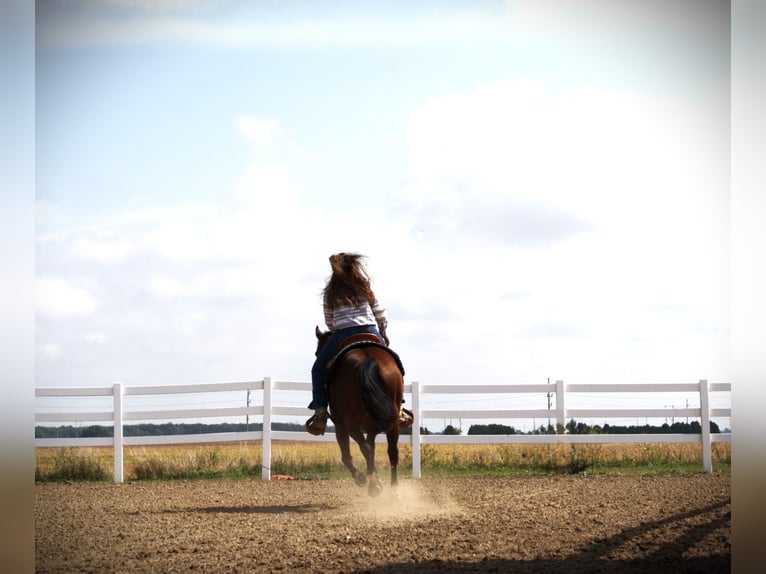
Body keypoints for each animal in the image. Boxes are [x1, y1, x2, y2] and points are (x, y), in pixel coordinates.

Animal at [314, 326, 406, 497]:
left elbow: (347, 455)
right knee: (392, 451)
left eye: (318, 353)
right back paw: (393, 490)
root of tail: (367, 358)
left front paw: (362, 478)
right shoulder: (371, 427)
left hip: (349, 423)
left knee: (365, 449)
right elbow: (371, 447)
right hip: (392, 420)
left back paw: (373, 485)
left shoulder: (339, 424)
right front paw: (373, 475)